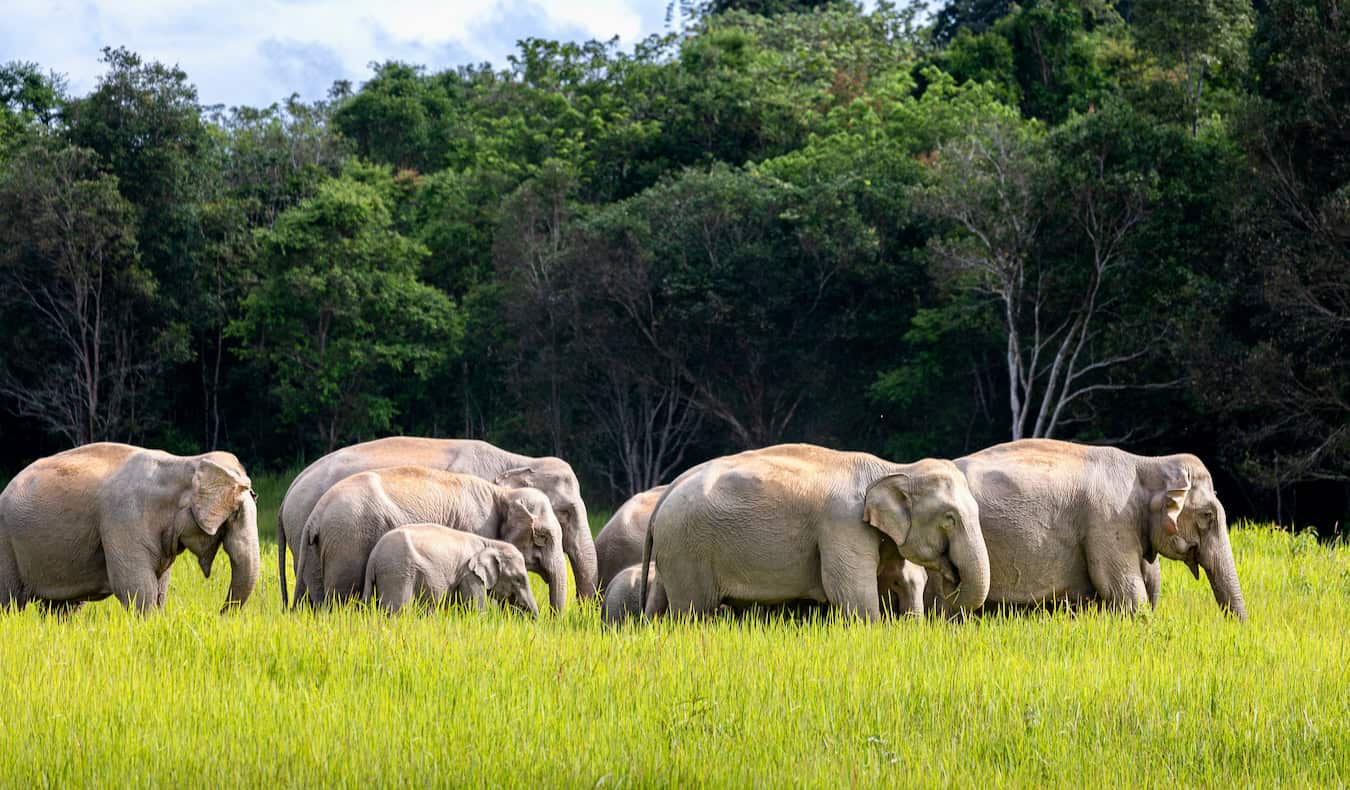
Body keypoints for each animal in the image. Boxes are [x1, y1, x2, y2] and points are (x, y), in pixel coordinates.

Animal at [0, 440, 257, 613]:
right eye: (235, 514)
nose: (219, 614)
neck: (185, 463)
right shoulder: (124, 519)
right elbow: (135, 586)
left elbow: (160, 588)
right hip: (6, 542)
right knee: (9, 601)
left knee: (61, 608)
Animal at [278, 434, 591, 607]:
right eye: (565, 514)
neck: (516, 463)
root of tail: (287, 496)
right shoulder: (474, 524)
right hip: (342, 538)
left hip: (309, 544)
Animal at [369, 521, 542, 618]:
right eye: (518, 579)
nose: (535, 620)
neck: (490, 543)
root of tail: (374, 555)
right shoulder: (470, 575)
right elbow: (475, 611)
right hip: (398, 572)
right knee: (397, 610)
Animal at [637, 442, 988, 615]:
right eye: (949, 518)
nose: (952, 575)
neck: (893, 469)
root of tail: (667, 492)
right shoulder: (842, 526)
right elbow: (852, 593)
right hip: (688, 548)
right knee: (692, 612)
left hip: (674, 551)